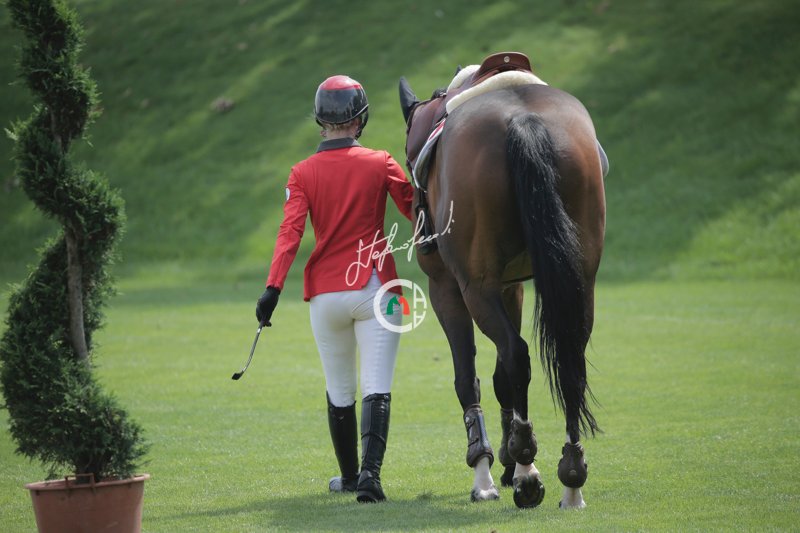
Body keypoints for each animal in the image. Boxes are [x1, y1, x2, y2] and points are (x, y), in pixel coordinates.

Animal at [398, 54, 606, 509]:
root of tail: (523, 120)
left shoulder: (448, 289)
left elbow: (469, 377)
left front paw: (488, 469)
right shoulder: (512, 287)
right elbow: (500, 381)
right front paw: (508, 462)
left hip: (474, 288)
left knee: (517, 353)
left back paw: (527, 467)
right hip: (581, 278)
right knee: (570, 357)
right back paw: (570, 474)